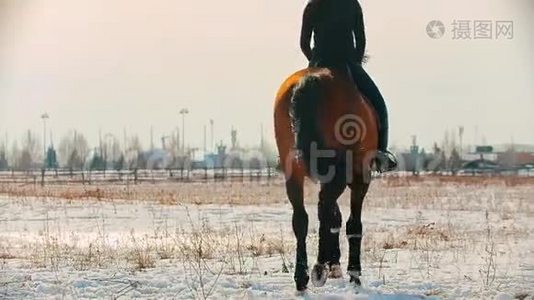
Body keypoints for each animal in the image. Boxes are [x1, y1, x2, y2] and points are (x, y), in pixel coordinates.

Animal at [274, 66, 378, 290]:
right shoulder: (360, 177)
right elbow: (352, 223)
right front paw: (352, 273)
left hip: (294, 172)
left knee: (302, 218)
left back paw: (303, 276)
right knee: (325, 207)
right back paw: (320, 267)